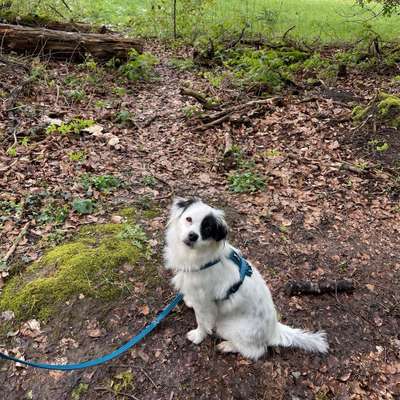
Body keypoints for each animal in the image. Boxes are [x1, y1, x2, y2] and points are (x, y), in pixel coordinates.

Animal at [164, 198, 330, 360]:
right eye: (189, 219)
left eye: (207, 229)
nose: (193, 236)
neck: (201, 257)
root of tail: (274, 329)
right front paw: (189, 302)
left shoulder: (205, 302)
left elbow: (202, 322)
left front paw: (198, 336)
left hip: (228, 327)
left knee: (256, 351)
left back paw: (228, 346)